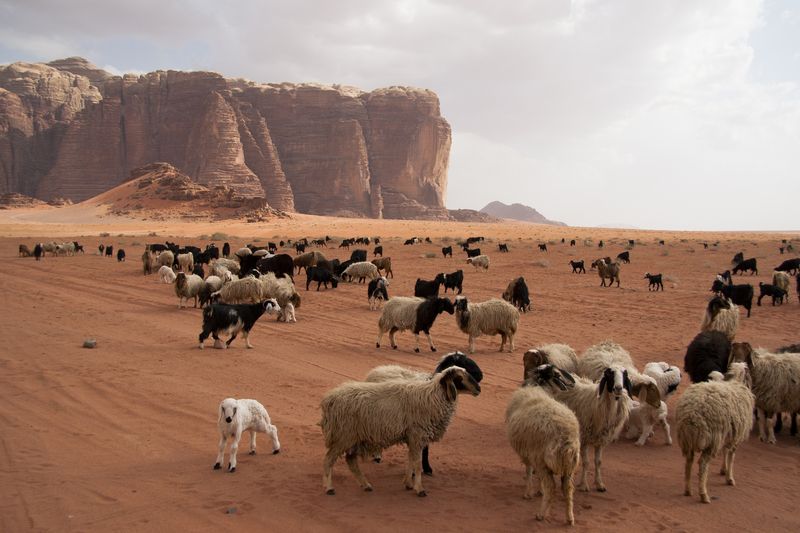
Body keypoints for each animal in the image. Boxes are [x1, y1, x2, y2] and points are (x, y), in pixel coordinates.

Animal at [318, 366, 482, 494]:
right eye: (460, 377)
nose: (479, 389)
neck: (434, 397)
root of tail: (328, 400)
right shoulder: (417, 435)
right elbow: (417, 463)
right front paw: (419, 489)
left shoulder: (412, 437)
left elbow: (410, 461)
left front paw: (408, 483)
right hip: (344, 435)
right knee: (328, 459)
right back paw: (329, 488)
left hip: (355, 437)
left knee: (351, 461)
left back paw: (366, 485)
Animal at [510, 362, 580, 524]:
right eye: (558, 375)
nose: (572, 383)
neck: (539, 387)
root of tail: (565, 439)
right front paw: (537, 491)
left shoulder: (528, 451)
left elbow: (529, 471)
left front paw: (528, 493)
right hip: (569, 467)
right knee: (568, 490)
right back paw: (570, 518)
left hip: (542, 460)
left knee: (551, 488)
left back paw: (541, 514)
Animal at [676, 360, 756, 500]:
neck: (737, 382)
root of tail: (691, 413)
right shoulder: (736, 436)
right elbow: (731, 456)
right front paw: (730, 478)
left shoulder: (729, 433)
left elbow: (725, 451)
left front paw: (723, 470)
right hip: (712, 439)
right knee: (702, 464)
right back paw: (704, 495)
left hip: (688, 438)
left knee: (689, 461)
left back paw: (688, 490)